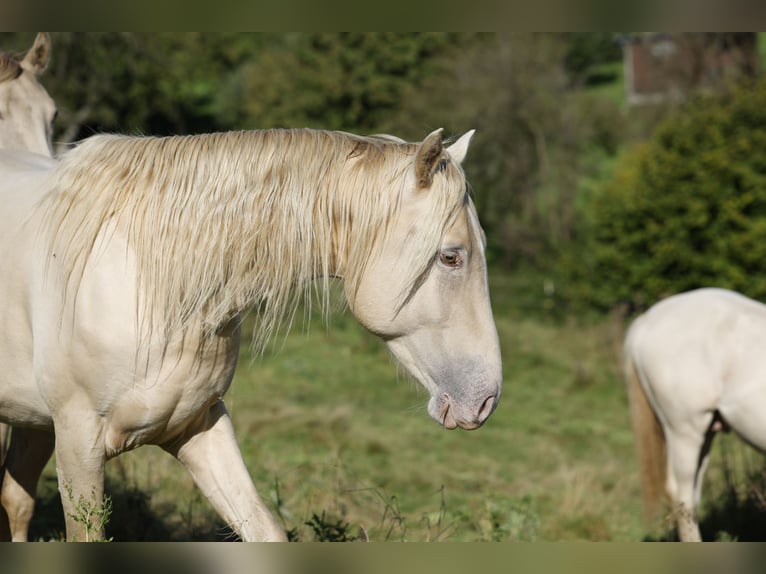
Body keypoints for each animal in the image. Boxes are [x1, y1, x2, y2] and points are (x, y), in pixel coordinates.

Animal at [0, 127, 502, 541]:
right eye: (451, 256)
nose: (485, 399)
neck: (147, 279)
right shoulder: (79, 442)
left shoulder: (198, 424)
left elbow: (263, 529)